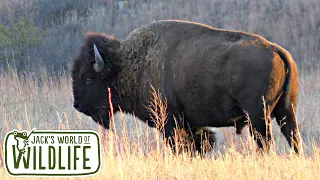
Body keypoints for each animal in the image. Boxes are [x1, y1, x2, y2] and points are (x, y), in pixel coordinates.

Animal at [71, 20, 302, 153]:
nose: (77, 106)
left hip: (258, 116)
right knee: (293, 136)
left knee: (266, 142)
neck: (127, 64)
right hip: (285, 110)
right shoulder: (189, 123)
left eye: (88, 79)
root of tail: (277, 50)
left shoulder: (169, 122)